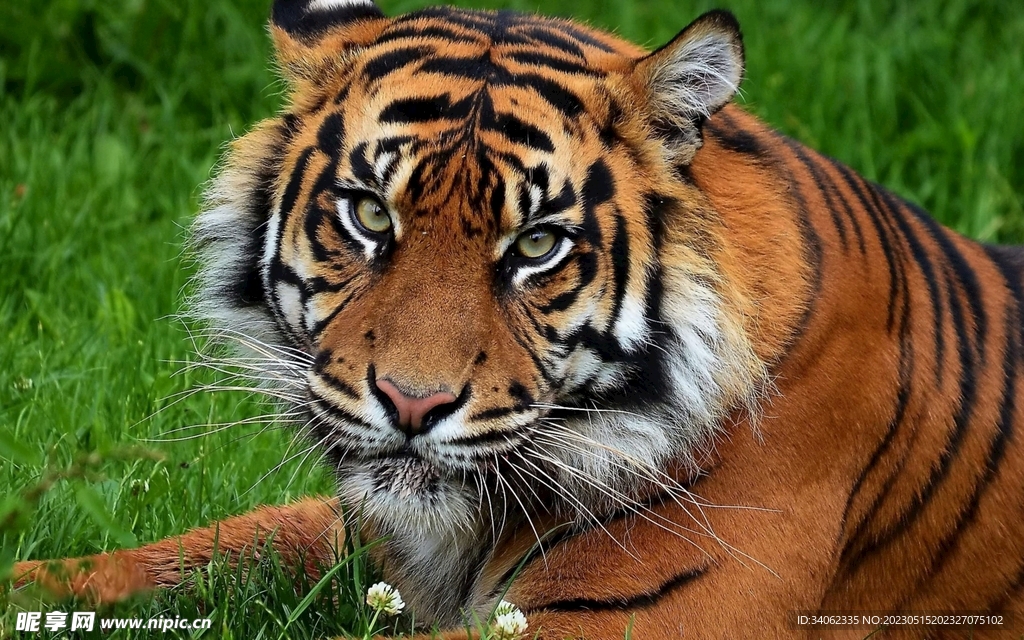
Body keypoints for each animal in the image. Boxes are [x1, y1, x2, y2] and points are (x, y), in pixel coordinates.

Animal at [12, 0, 1024, 638]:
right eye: (369, 214)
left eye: (536, 244)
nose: (412, 406)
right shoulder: (363, 531)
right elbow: (187, 551)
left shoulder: (621, 619)